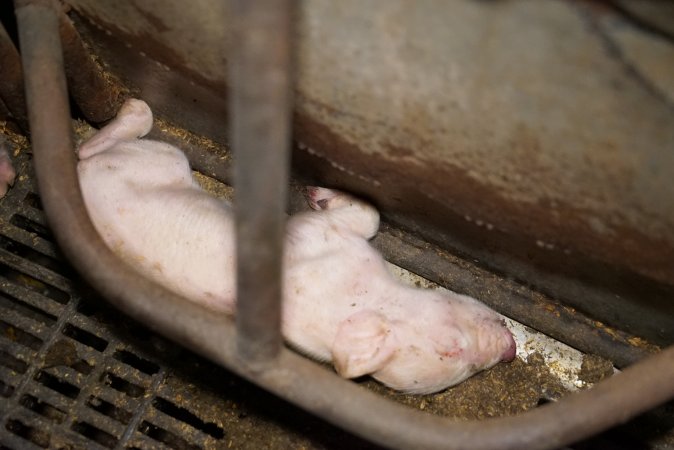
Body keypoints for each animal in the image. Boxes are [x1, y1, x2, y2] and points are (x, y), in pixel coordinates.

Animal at [76, 99, 512, 394]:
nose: (509, 350)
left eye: (461, 370)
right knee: (92, 146)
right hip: (162, 156)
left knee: (87, 150)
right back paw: (134, 108)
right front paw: (318, 193)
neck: (359, 297)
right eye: (453, 347)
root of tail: (83, 181)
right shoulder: (320, 237)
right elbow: (368, 216)